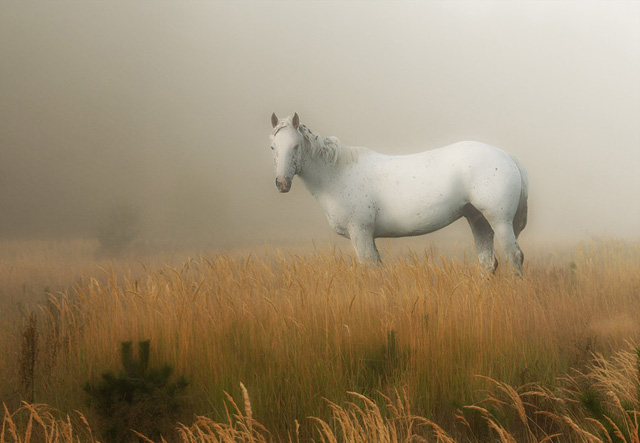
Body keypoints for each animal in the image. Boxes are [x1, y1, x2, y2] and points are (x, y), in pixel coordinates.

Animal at [268, 113, 528, 274]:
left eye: (296, 146)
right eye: (273, 147)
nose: (282, 183)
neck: (337, 174)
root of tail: (507, 156)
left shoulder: (360, 233)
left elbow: (369, 268)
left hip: (499, 221)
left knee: (514, 257)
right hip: (478, 220)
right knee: (488, 263)